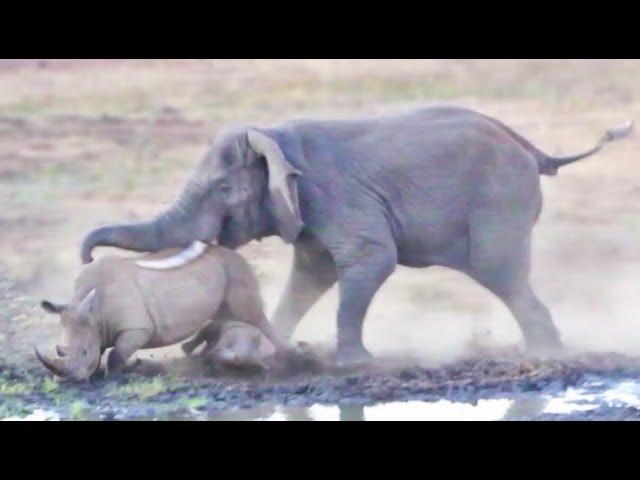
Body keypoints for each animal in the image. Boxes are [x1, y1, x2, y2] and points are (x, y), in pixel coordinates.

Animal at [34, 246, 284, 380]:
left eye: (84, 352)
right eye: (58, 350)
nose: (70, 380)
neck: (95, 313)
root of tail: (234, 253)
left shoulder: (135, 328)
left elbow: (116, 354)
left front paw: (112, 376)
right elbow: (104, 349)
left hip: (236, 270)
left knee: (252, 316)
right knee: (222, 319)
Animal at [79, 107, 632, 366]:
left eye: (223, 188)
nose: (84, 256)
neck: (275, 135)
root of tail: (534, 150)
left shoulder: (334, 193)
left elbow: (371, 259)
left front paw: (351, 362)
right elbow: (311, 274)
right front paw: (271, 353)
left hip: (501, 202)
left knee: (500, 271)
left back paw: (545, 355)